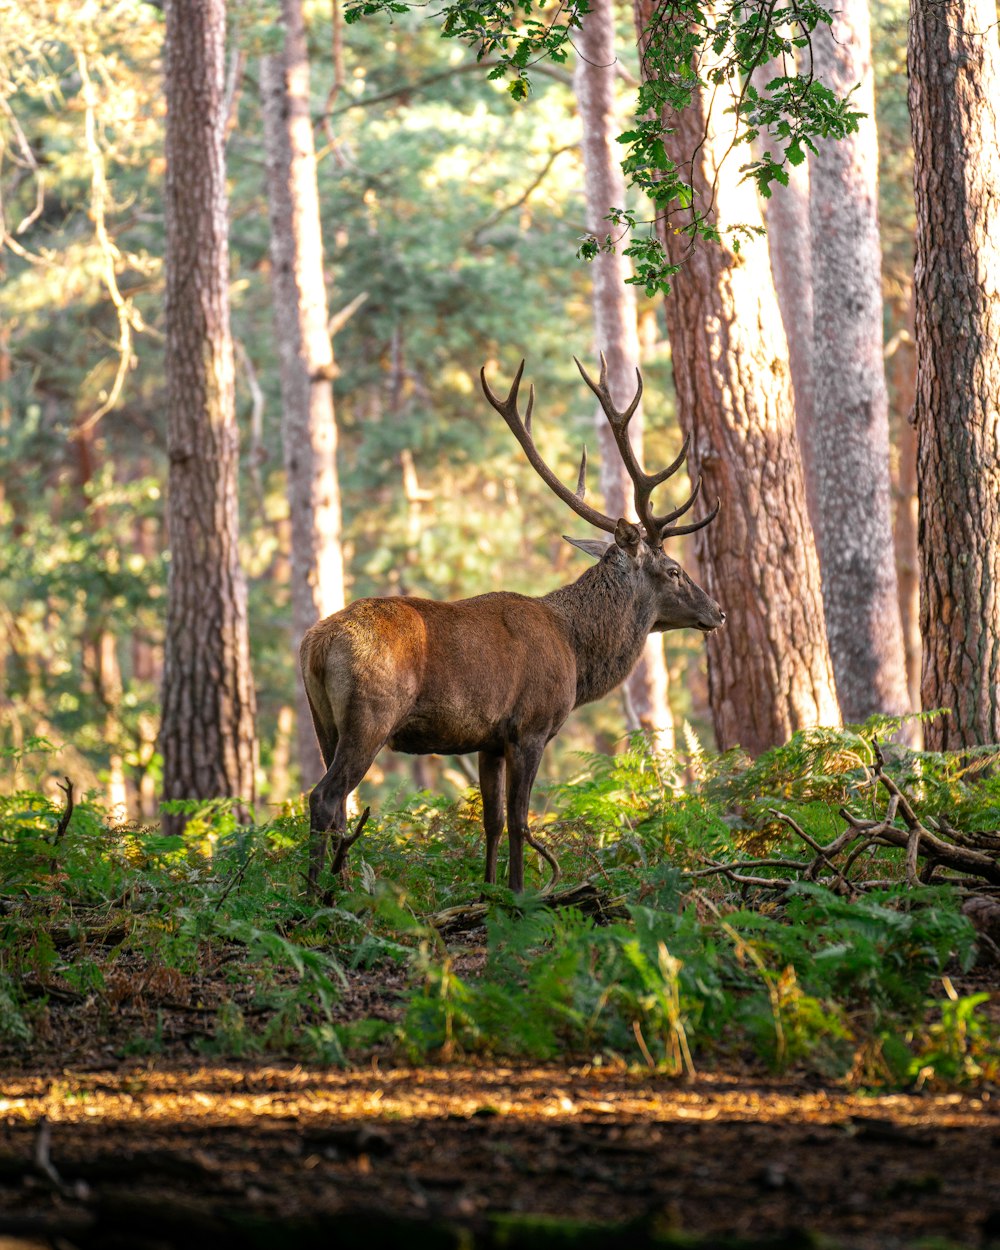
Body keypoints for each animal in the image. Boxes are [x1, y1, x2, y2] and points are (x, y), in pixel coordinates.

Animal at [301, 357, 725, 895]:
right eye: (673, 570)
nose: (718, 612)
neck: (576, 652)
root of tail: (316, 644)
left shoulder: (489, 740)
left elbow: (493, 821)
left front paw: (487, 892)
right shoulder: (531, 726)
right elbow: (523, 821)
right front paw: (521, 894)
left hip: (323, 722)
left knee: (331, 804)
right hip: (370, 715)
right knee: (325, 798)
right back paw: (318, 898)